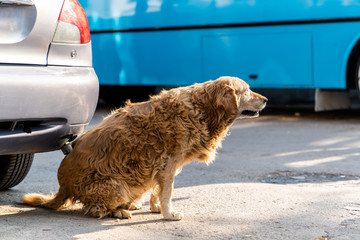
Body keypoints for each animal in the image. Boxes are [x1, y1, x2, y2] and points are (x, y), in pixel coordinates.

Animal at [21, 77, 266, 221]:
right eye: (247, 90)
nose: (265, 99)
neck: (203, 107)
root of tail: (63, 185)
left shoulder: (164, 166)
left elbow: (158, 191)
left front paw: (157, 208)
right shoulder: (169, 163)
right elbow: (167, 193)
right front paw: (168, 214)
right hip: (116, 185)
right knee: (95, 209)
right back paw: (119, 210)